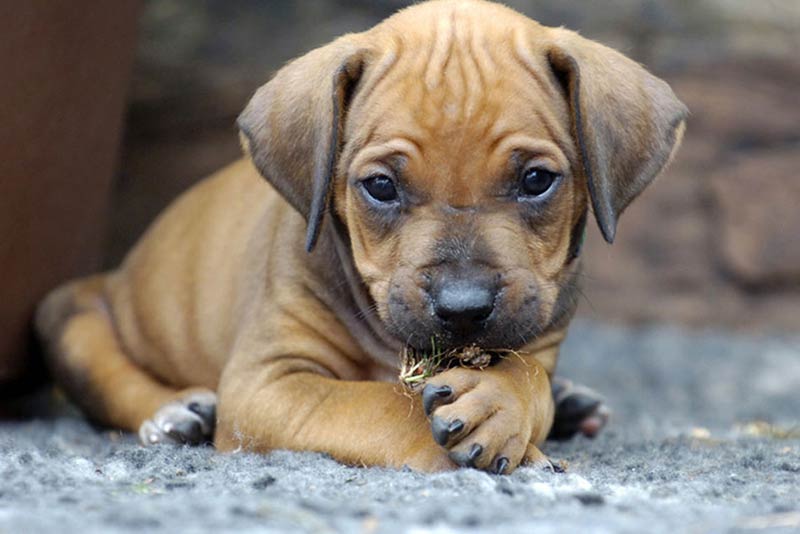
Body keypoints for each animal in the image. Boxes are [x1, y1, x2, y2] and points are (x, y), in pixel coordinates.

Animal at [36, 0, 688, 478]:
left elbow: (530, 378)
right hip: (69, 316)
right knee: (107, 372)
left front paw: (503, 406)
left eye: (536, 180)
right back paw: (174, 413)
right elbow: (379, 404)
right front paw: (515, 447)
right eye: (380, 186)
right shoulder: (269, 384)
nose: (464, 309)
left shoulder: (541, 331)